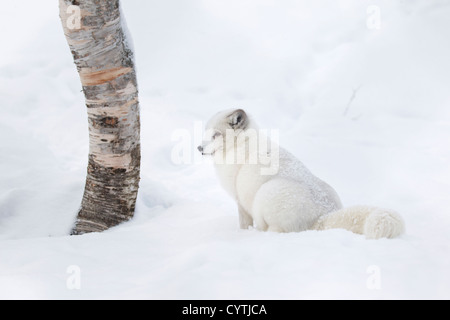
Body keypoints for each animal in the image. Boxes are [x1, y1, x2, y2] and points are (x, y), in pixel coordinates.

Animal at [197, 109, 404, 239]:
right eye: (206, 132)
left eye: (216, 135)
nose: (199, 148)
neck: (241, 145)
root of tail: (322, 216)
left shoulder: (240, 200)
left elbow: (243, 223)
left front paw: (242, 233)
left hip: (266, 193)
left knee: (276, 231)